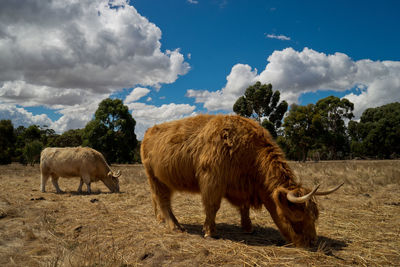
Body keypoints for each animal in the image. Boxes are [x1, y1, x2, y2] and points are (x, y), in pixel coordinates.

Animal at [140, 114, 340, 248]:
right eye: (296, 216)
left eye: (314, 216)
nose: (312, 241)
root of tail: (149, 130)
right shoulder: (212, 181)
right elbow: (212, 207)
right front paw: (210, 232)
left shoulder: (242, 187)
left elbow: (244, 208)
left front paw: (248, 227)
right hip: (155, 178)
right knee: (163, 201)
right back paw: (175, 226)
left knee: (157, 199)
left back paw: (161, 219)